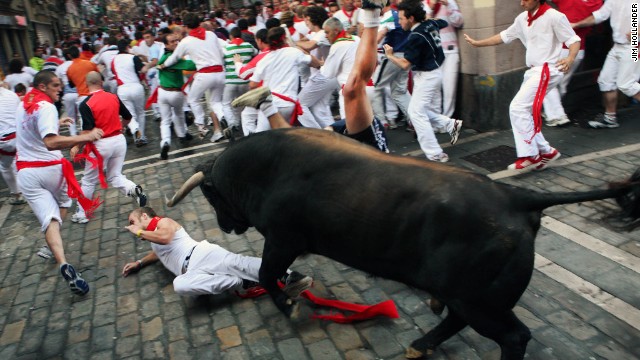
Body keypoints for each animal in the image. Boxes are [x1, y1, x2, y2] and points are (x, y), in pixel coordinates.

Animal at [166, 128, 640, 358]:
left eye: (210, 195)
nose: (226, 227)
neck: (266, 168)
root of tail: (515, 198)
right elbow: (273, 275)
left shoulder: (282, 239)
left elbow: (268, 275)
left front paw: (291, 305)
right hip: (472, 298)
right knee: (459, 321)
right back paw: (421, 344)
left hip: (480, 301)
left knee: (514, 337)